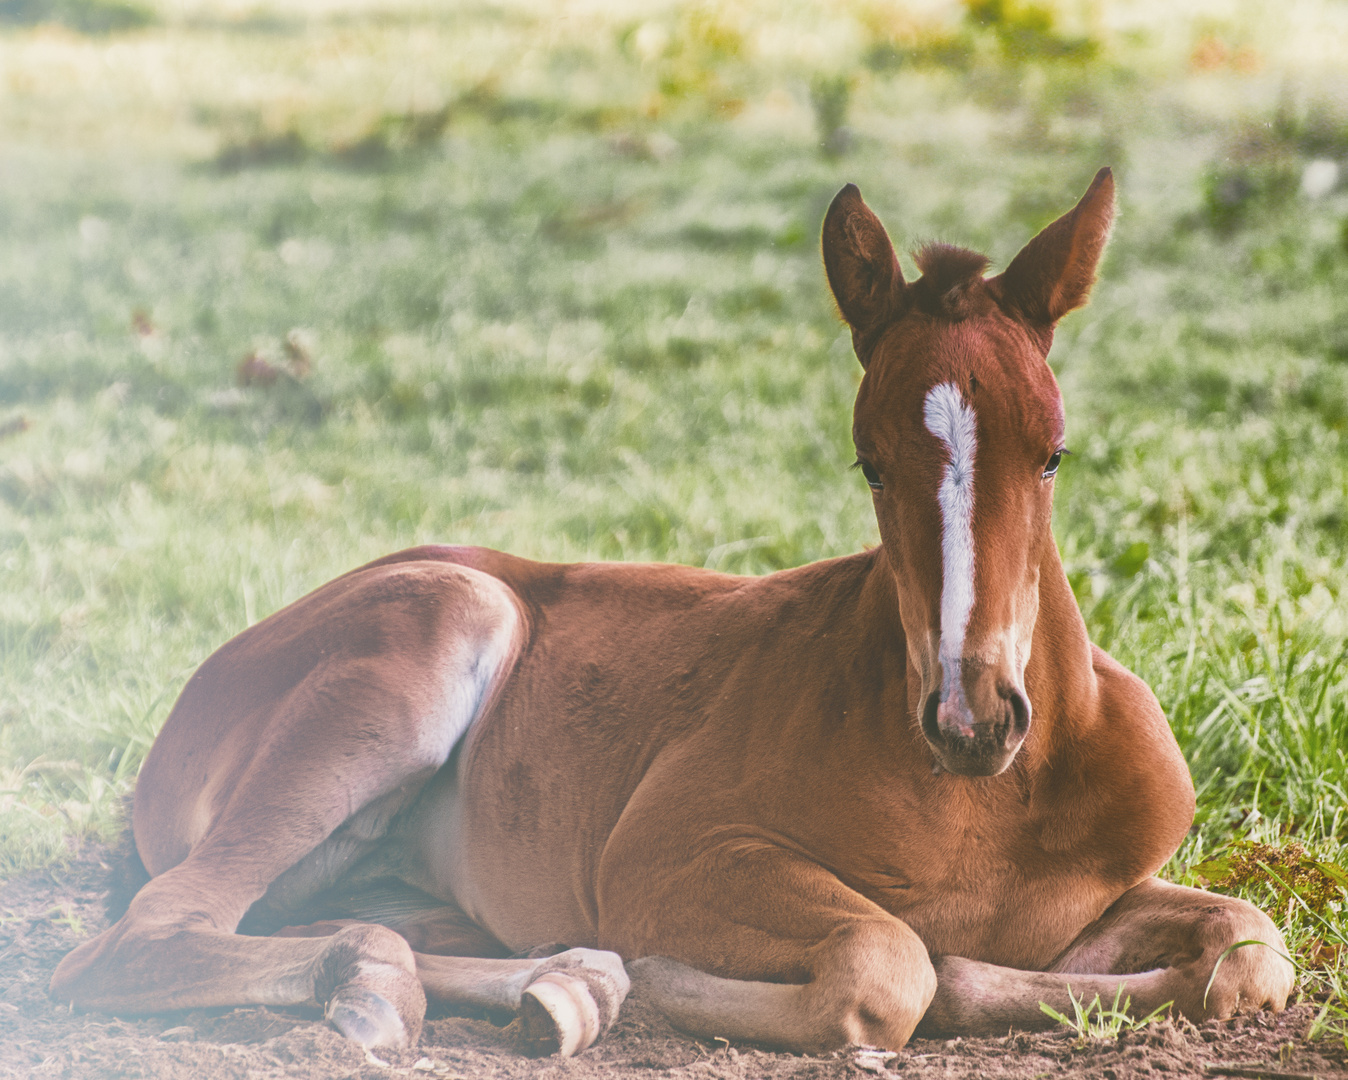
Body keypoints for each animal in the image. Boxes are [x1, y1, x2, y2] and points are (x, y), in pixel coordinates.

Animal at [52, 168, 1294, 1051]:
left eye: (1051, 454)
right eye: (869, 464)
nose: (972, 716)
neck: (987, 802)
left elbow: (1249, 947)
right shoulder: (663, 857)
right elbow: (892, 966)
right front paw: (682, 982)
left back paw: (553, 988)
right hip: (447, 614)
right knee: (142, 936)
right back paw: (398, 989)